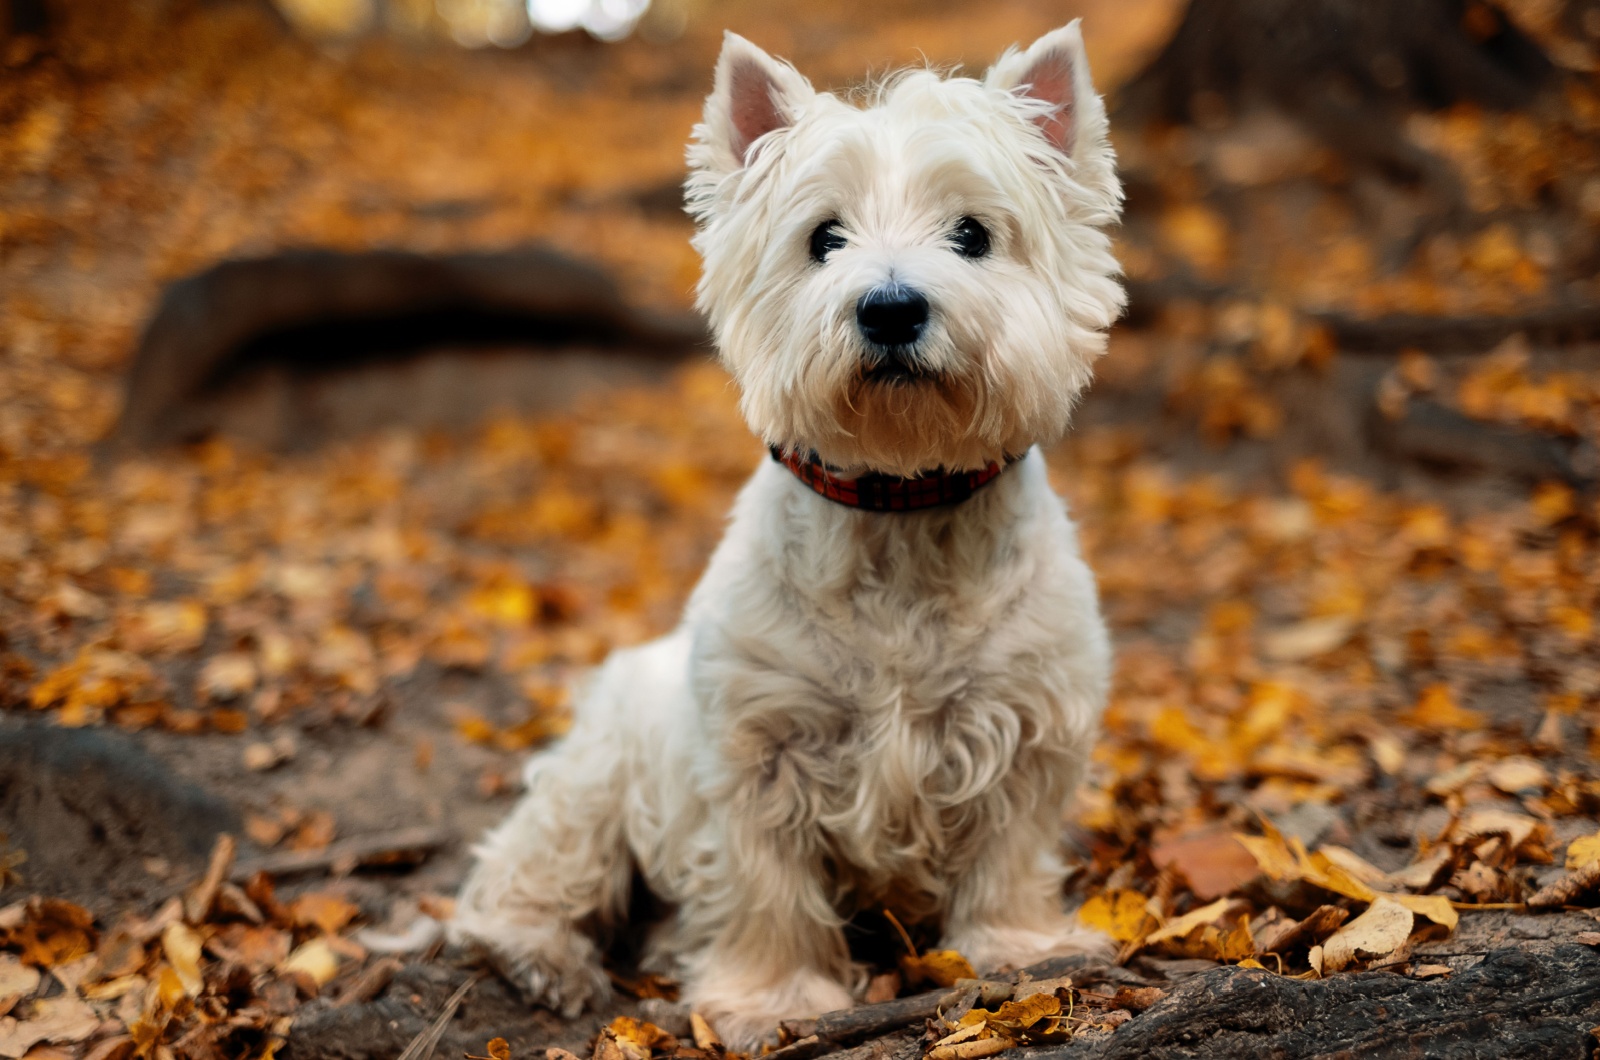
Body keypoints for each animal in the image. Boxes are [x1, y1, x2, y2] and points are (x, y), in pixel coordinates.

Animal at [451, 24, 1126, 1056]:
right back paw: (545, 957)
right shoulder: (755, 748)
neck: (899, 508)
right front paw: (768, 1000)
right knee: (524, 872)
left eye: (973, 233)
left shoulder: (1024, 724)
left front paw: (1022, 950)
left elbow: (1008, 855)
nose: (890, 308)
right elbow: (765, 887)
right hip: (596, 778)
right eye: (824, 239)